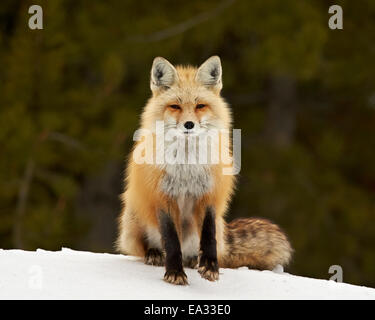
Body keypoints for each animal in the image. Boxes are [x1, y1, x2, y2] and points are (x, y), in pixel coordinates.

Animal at [116, 56, 292, 284]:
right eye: (175, 106)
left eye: (200, 105)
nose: (189, 124)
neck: (187, 165)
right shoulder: (162, 196)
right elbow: (171, 241)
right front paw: (174, 273)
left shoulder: (209, 194)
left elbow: (208, 237)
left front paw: (209, 267)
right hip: (133, 219)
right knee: (145, 248)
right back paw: (154, 253)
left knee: (202, 246)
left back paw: (193, 260)